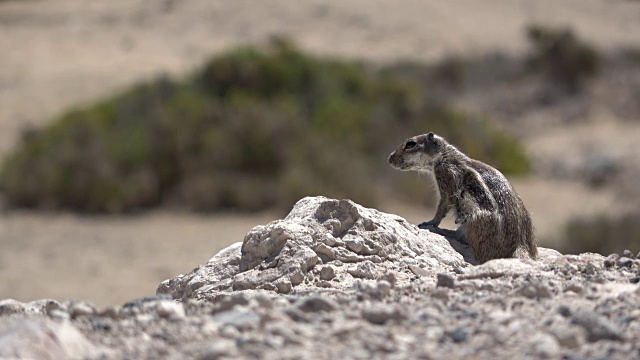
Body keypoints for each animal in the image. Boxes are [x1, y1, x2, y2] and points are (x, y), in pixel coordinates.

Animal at [388, 132, 536, 262]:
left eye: (410, 144)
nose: (389, 159)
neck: (444, 155)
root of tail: (519, 247)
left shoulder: (447, 177)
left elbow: (442, 207)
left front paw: (430, 223)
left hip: (472, 221)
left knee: (462, 238)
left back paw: (443, 231)